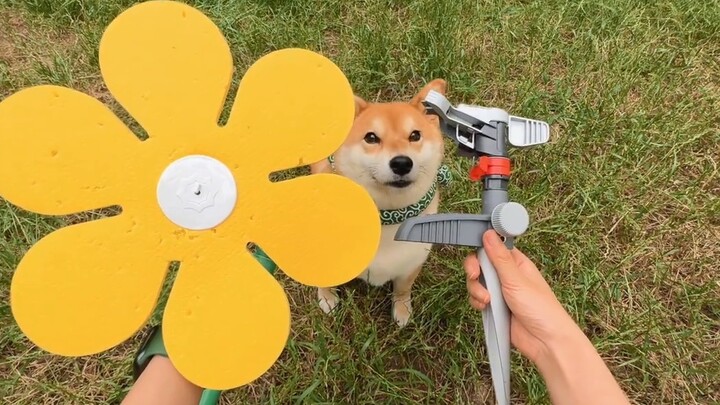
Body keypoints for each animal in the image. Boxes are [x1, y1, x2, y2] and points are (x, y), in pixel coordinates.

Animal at [310, 78, 450, 326]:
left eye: (415, 135)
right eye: (371, 137)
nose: (402, 162)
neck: (385, 216)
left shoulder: (412, 263)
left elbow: (403, 289)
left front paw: (402, 311)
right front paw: (327, 298)